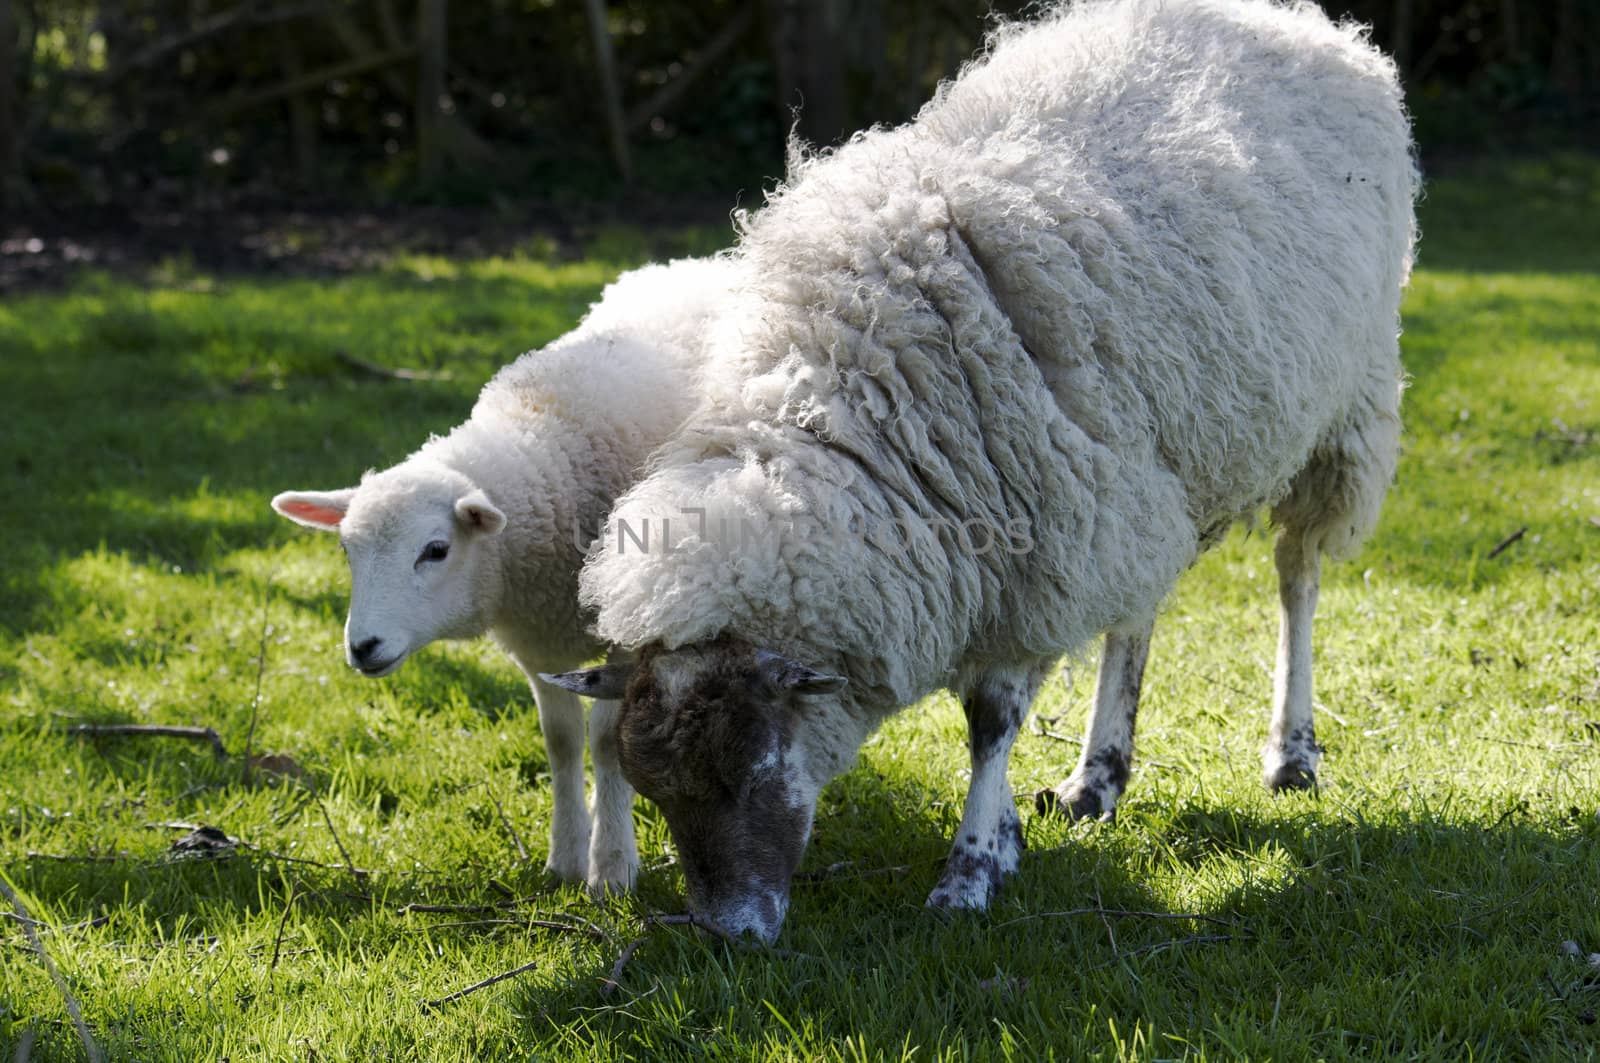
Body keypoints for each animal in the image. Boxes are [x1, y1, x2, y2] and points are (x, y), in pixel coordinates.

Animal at [273, 252, 742, 890]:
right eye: (347, 551)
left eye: (436, 549)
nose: (362, 646)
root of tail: (691, 262)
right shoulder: (536, 642)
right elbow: (562, 742)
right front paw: (564, 860)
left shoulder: (626, 631)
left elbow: (606, 742)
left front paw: (612, 868)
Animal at [547, 0, 1414, 941]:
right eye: (658, 793)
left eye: (747, 771)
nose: (729, 935)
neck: (851, 407)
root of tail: (1300, 22)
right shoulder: (1060, 526)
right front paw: (1006, 835)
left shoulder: (1034, 551)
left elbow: (991, 722)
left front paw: (970, 869)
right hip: (1145, 479)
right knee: (1138, 613)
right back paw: (1098, 774)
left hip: (1344, 411)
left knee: (1298, 574)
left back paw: (1292, 751)